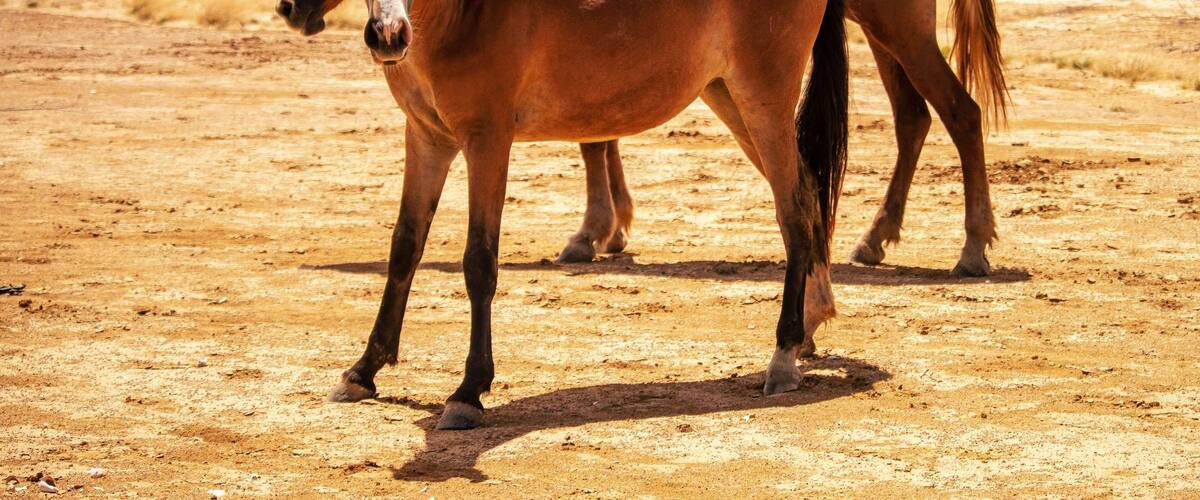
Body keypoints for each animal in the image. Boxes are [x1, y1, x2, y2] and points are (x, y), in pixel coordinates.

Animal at [278, 0, 850, 430]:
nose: (387, 34)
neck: (461, 14)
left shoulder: (488, 142)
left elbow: (479, 263)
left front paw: (468, 392)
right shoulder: (427, 140)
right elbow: (404, 249)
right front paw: (364, 370)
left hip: (762, 98)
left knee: (794, 214)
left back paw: (783, 355)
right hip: (727, 94)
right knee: (806, 195)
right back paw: (809, 328)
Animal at [556, 0, 1009, 278]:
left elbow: (594, 137)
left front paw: (592, 232)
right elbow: (603, 129)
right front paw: (612, 228)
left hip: (899, 28)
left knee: (961, 113)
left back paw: (973, 246)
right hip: (882, 28)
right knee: (912, 119)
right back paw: (875, 237)